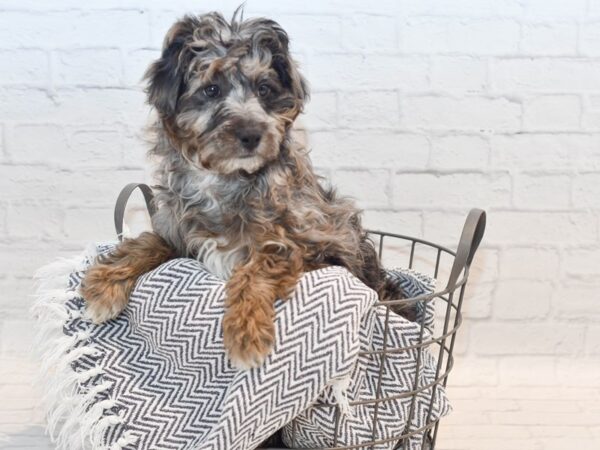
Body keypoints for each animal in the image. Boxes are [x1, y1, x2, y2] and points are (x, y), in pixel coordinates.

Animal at [81, 10, 408, 370]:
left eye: (264, 89)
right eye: (211, 89)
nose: (251, 134)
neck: (225, 179)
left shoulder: (323, 248)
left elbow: (260, 263)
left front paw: (246, 331)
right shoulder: (180, 233)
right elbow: (151, 241)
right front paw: (105, 283)